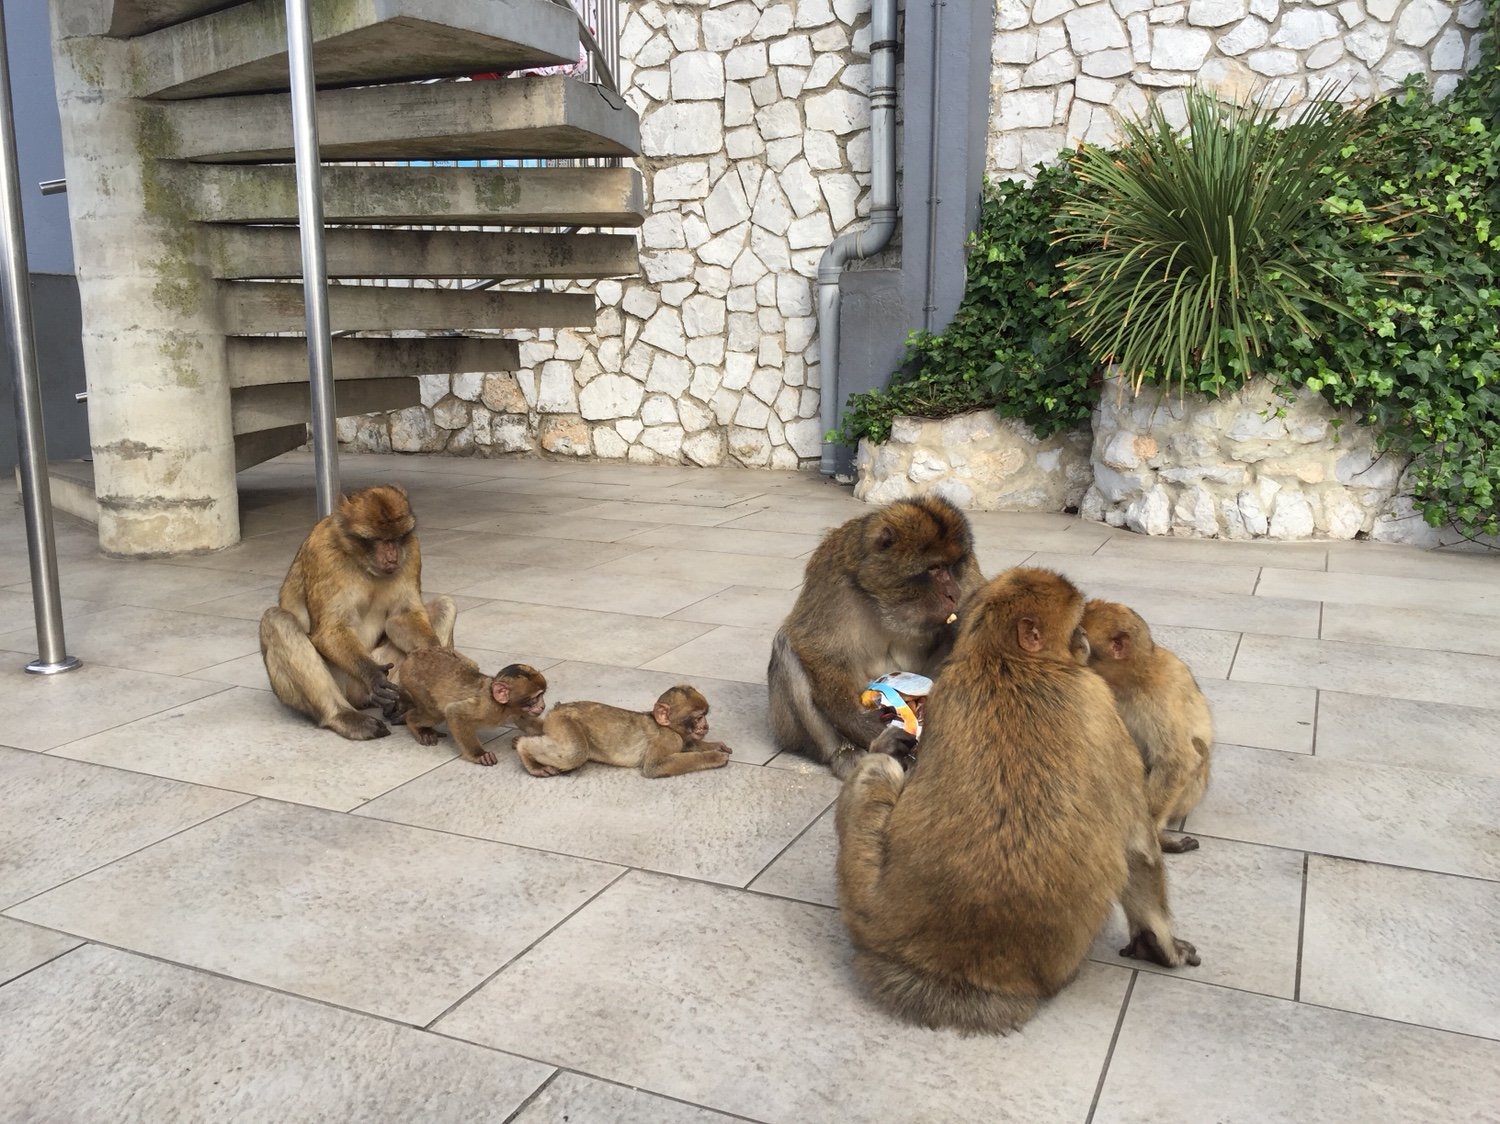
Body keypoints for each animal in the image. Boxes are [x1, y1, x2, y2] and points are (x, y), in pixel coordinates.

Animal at [259, 484, 455, 741]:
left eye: (397, 538)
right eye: (378, 539)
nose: (392, 556)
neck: (362, 562)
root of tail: (360, 698)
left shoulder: (412, 550)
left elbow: (402, 617)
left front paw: (438, 658)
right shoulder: (323, 553)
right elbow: (330, 630)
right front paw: (372, 674)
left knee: (446, 605)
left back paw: (407, 706)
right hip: (343, 682)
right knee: (277, 620)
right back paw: (343, 716)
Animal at [396, 649, 547, 766]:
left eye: (542, 695)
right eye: (534, 699)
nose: (542, 706)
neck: (504, 707)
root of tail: (413, 655)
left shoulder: (518, 711)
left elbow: (529, 724)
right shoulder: (486, 708)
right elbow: (454, 712)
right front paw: (479, 755)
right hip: (411, 680)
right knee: (434, 713)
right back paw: (415, 724)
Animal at [513, 685, 732, 779]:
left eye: (705, 715)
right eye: (698, 717)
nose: (705, 726)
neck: (666, 726)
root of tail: (556, 709)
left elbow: (689, 743)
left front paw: (711, 745)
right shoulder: (668, 738)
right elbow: (655, 767)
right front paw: (713, 756)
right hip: (563, 722)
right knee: (575, 753)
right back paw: (523, 748)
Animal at [767, 496, 984, 779]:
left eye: (951, 566)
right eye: (935, 568)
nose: (953, 593)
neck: (887, 602)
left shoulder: (968, 576)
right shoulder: (832, 577)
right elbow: (814, 645)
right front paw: (858, 722)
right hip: (789, 731)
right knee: (786, 646)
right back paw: (851, 754)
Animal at [835, 567, 1200, 1036]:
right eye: (1076, 625)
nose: (1082, 639)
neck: (1009, 662)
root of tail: (949, 969)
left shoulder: (947, 688)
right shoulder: (1100, 702)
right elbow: (1138, 849)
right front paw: (1163, 944)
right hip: (868, 910)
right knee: (877, 771)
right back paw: (883, 752)